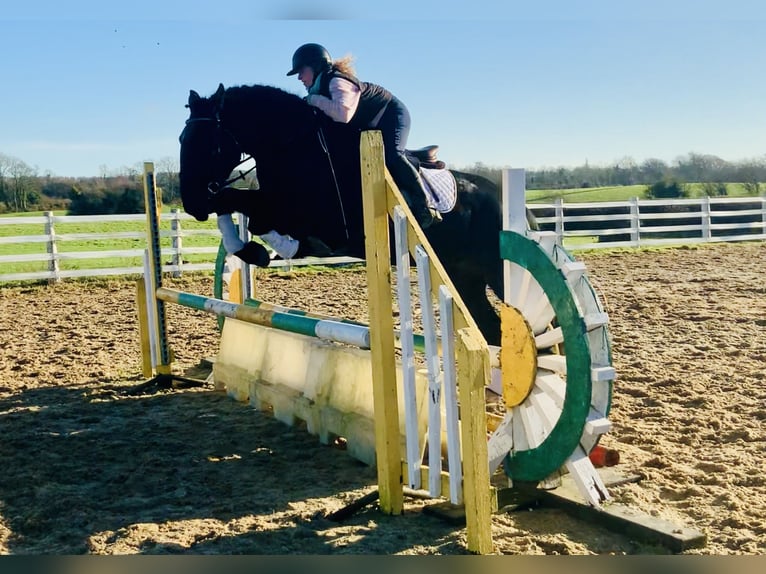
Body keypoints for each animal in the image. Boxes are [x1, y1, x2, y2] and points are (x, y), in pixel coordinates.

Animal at [182, 84, 510, 346]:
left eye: (211, 145)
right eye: (183, 139)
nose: (191, 204)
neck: (294, 148)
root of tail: (498, 193)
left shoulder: (308, 217)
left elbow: (247, 209)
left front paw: (268, 250)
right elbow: (232, 203)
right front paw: (255, 251)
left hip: (493, 271)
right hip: (462, 276)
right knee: (490, 328)